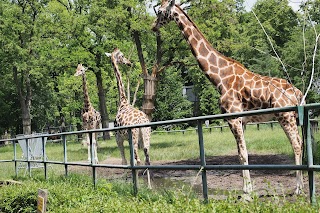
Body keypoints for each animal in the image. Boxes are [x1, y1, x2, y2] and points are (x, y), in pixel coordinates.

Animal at [104, 47, 151, 188]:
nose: (129, 63)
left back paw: (137, 185)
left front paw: (125, 182)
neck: (123, 102)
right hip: (146, 136)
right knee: (147, 158)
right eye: (122, 56)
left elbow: (124, 161)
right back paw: (149, 186)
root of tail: (142, 121)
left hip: (134, 138)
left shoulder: (118, 138)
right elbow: (128, 161)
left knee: (138, 160)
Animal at [154, 0, 304, 196]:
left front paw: (247, 191)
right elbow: (241, 153)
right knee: (301, 143)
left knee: (296, 144)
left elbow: (243, 154)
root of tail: (298, 93)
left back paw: (298, 189)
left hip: (285, 116)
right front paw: (246, 187)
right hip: (292, 117)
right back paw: (301, 186)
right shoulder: (242, 121)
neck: (219, 78)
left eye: (160, 11)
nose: (153, 27)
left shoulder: (233, 118)